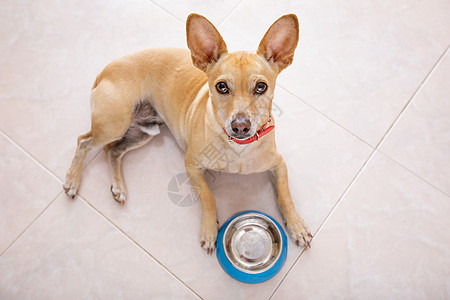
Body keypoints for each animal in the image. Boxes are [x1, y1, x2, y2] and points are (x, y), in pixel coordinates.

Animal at [63, 12, 312, 254]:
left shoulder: (279, 164)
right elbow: (208, 197)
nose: (240, 125)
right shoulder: (192, 165)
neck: (238, 148)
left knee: (112, 152)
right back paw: (72, 180)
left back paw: (118, 187)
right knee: (84, 141)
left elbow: (285, 195)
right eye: (221, 87)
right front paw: (209, 230)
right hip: (114, 124)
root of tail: (106, 69)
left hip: (144, 132)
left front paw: (297, 225)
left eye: (261, 87)